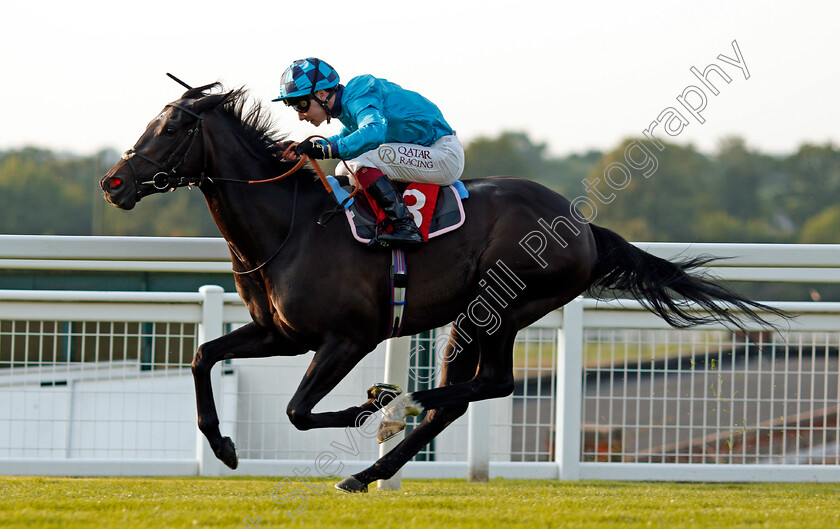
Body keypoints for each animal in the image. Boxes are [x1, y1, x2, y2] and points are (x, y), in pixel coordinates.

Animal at [100, 81, 788, 490]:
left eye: (169, 129)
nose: (114, 182)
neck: (291, 227)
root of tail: (581, 224)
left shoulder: (347, 337)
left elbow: (298, 411)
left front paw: (373, 404)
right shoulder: (280, 334)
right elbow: (202, 355)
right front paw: (222, 447)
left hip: (502, 303)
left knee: (490, 383)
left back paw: (393, 408)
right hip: (469, 318)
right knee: (462, 395)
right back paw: (370, 466)